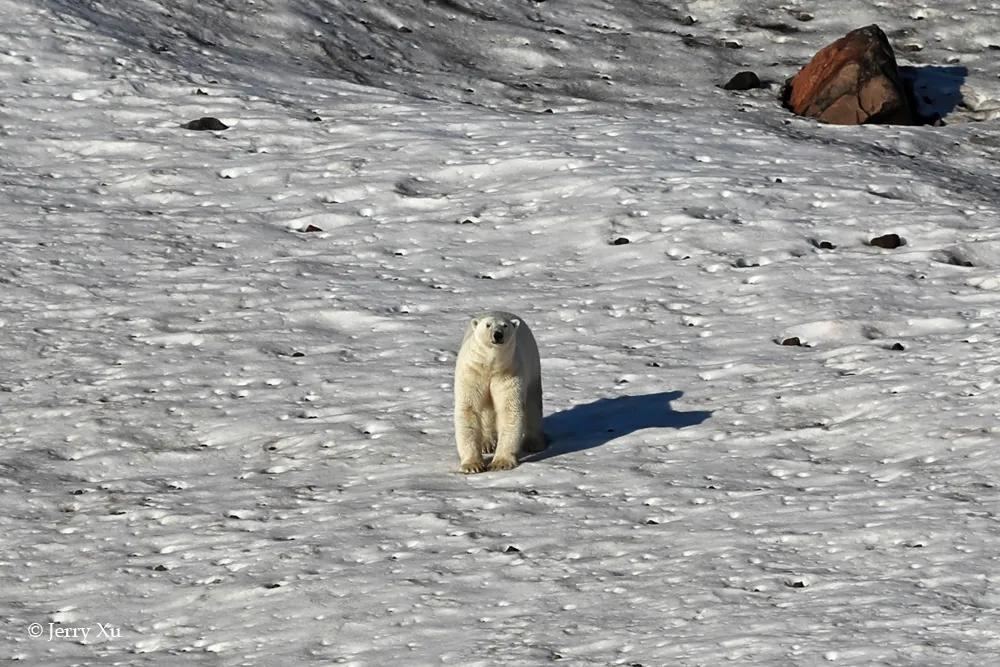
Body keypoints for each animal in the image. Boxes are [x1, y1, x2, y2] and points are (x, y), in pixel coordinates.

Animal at [456, 310, 548, 472]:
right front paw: (472, 465)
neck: (491, 365)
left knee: (533, 403)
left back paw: (534, 443)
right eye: (488, 325)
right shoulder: (473, 372)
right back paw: (487, 443)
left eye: (505, 326)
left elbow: (509, 409)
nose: (497, 334)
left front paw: (501, 462)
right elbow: (469, 408)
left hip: (533, 365)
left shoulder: (509, 373)